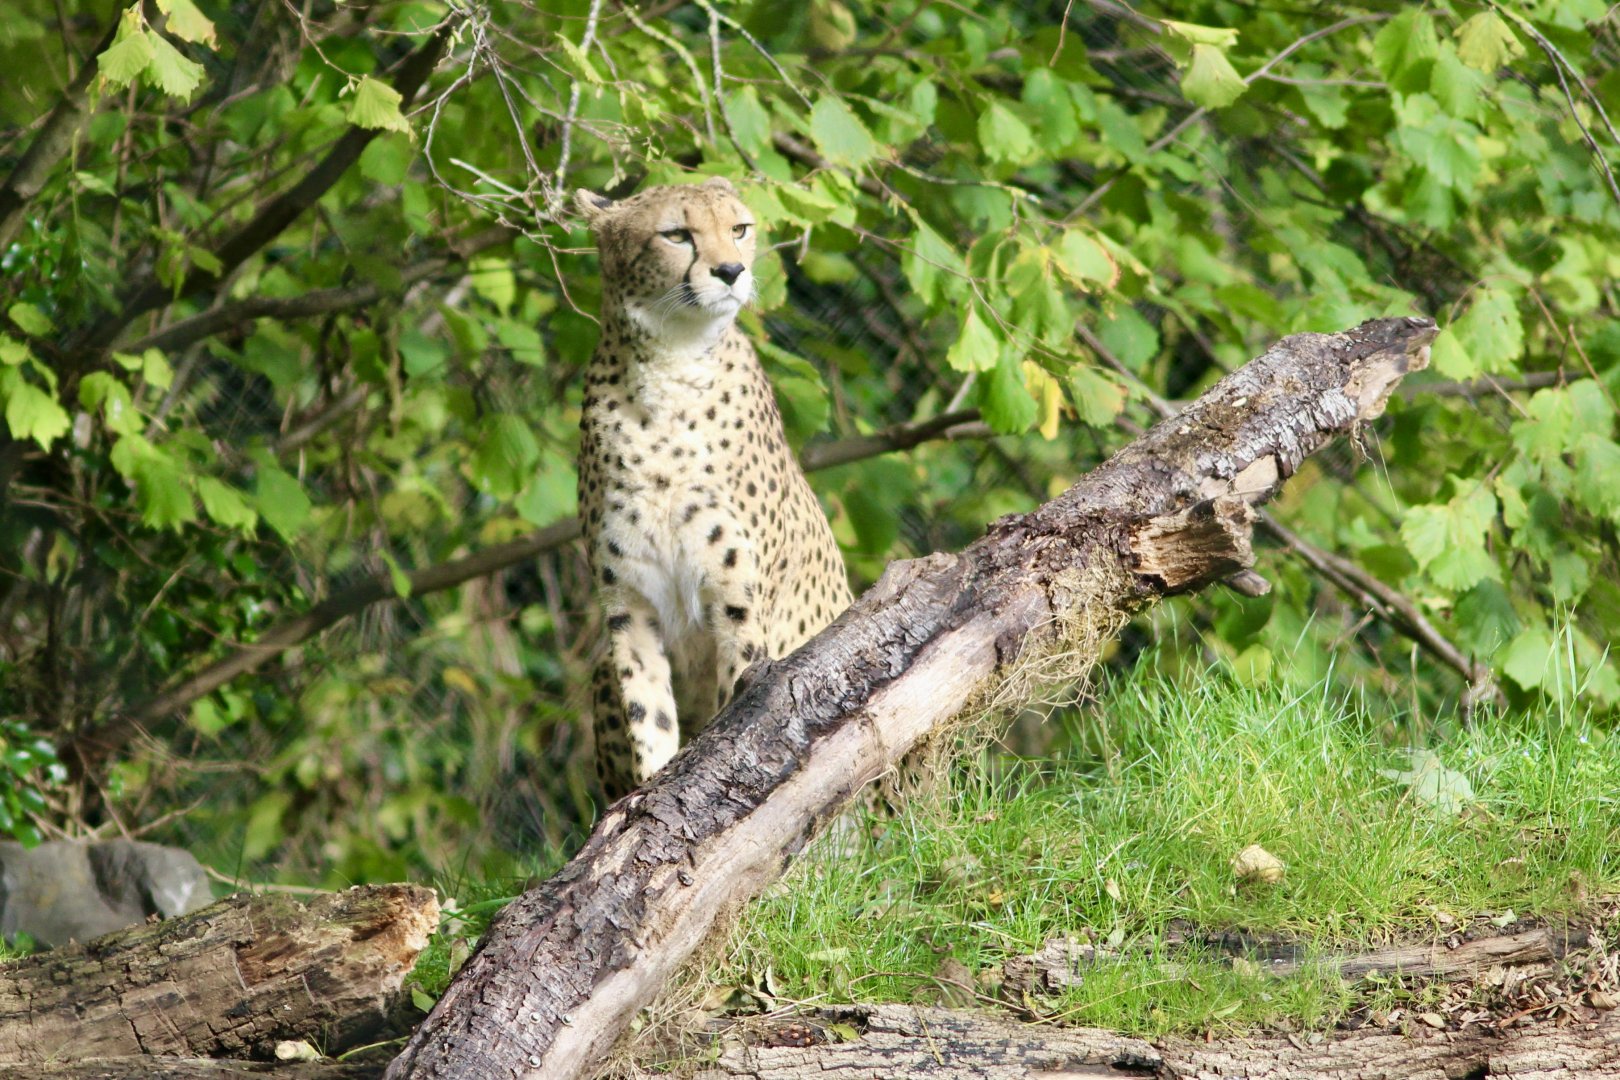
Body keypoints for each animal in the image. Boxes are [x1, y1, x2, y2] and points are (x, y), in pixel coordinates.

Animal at [573, 176, 853, 800]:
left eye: (739, 229)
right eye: (677, 234)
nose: (730, 271)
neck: (669, 367)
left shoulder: (737, 600)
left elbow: (736, 703)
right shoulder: (629, 606)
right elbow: (648, 716)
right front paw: (649, 796)